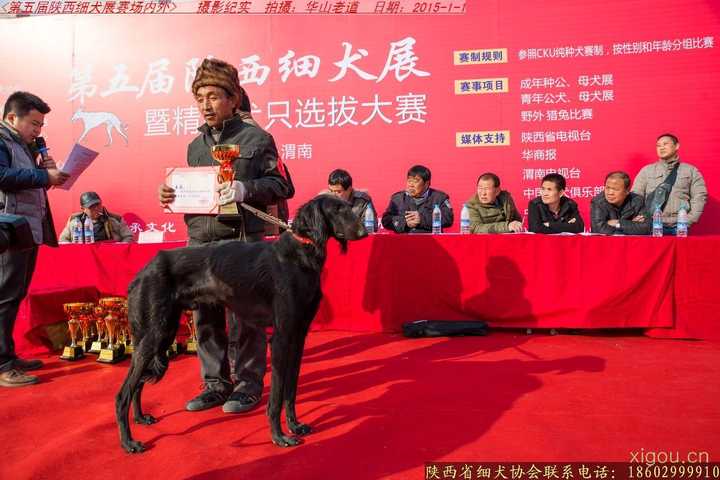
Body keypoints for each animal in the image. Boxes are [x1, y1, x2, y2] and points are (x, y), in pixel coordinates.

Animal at [117, 193, 368, 452]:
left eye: (348, 206)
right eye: (337, 210)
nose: (364, 232)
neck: (300, 254)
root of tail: (142, 272)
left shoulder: (298, 336)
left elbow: (291, 390)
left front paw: (295, 426)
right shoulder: (281, 337)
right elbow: (277, 395)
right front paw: (279, 436)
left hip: (163, 333)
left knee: (137, 384)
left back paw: (140, 418)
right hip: (155, 334)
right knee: (122, 394)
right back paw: (128, 441)